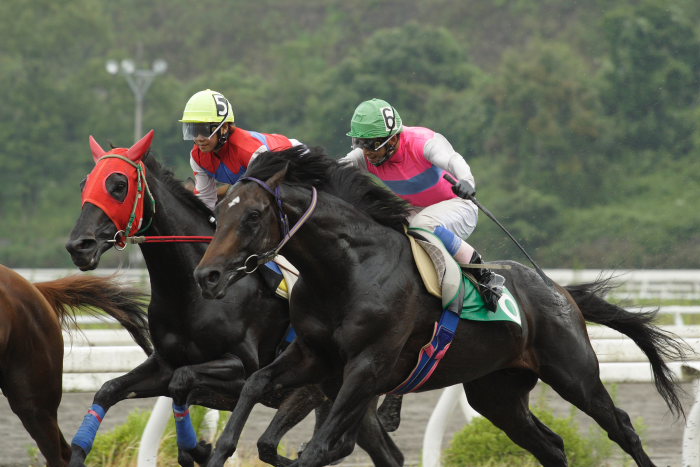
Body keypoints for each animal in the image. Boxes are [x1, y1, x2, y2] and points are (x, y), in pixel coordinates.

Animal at [65, 132, 404, 467]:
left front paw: (199, 449)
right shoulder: (164, 363)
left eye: (118, 185)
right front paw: (79, 451)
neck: (189, 294)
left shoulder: (241, 368)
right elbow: (108, 390)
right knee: (385, 453)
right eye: (84, 184)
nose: (78, 246)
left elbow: (182, 381)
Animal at [193, 146, 688, 467]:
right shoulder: (312, 355)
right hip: (497, 393)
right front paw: (218, 451)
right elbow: (255, 385)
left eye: (252, 215)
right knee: (550, 446)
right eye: (220, 213)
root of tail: (558, 290)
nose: (206, 276)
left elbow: (319, 448)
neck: (346, 270)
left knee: (621, 427)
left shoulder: (367, 367)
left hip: (574, 373)